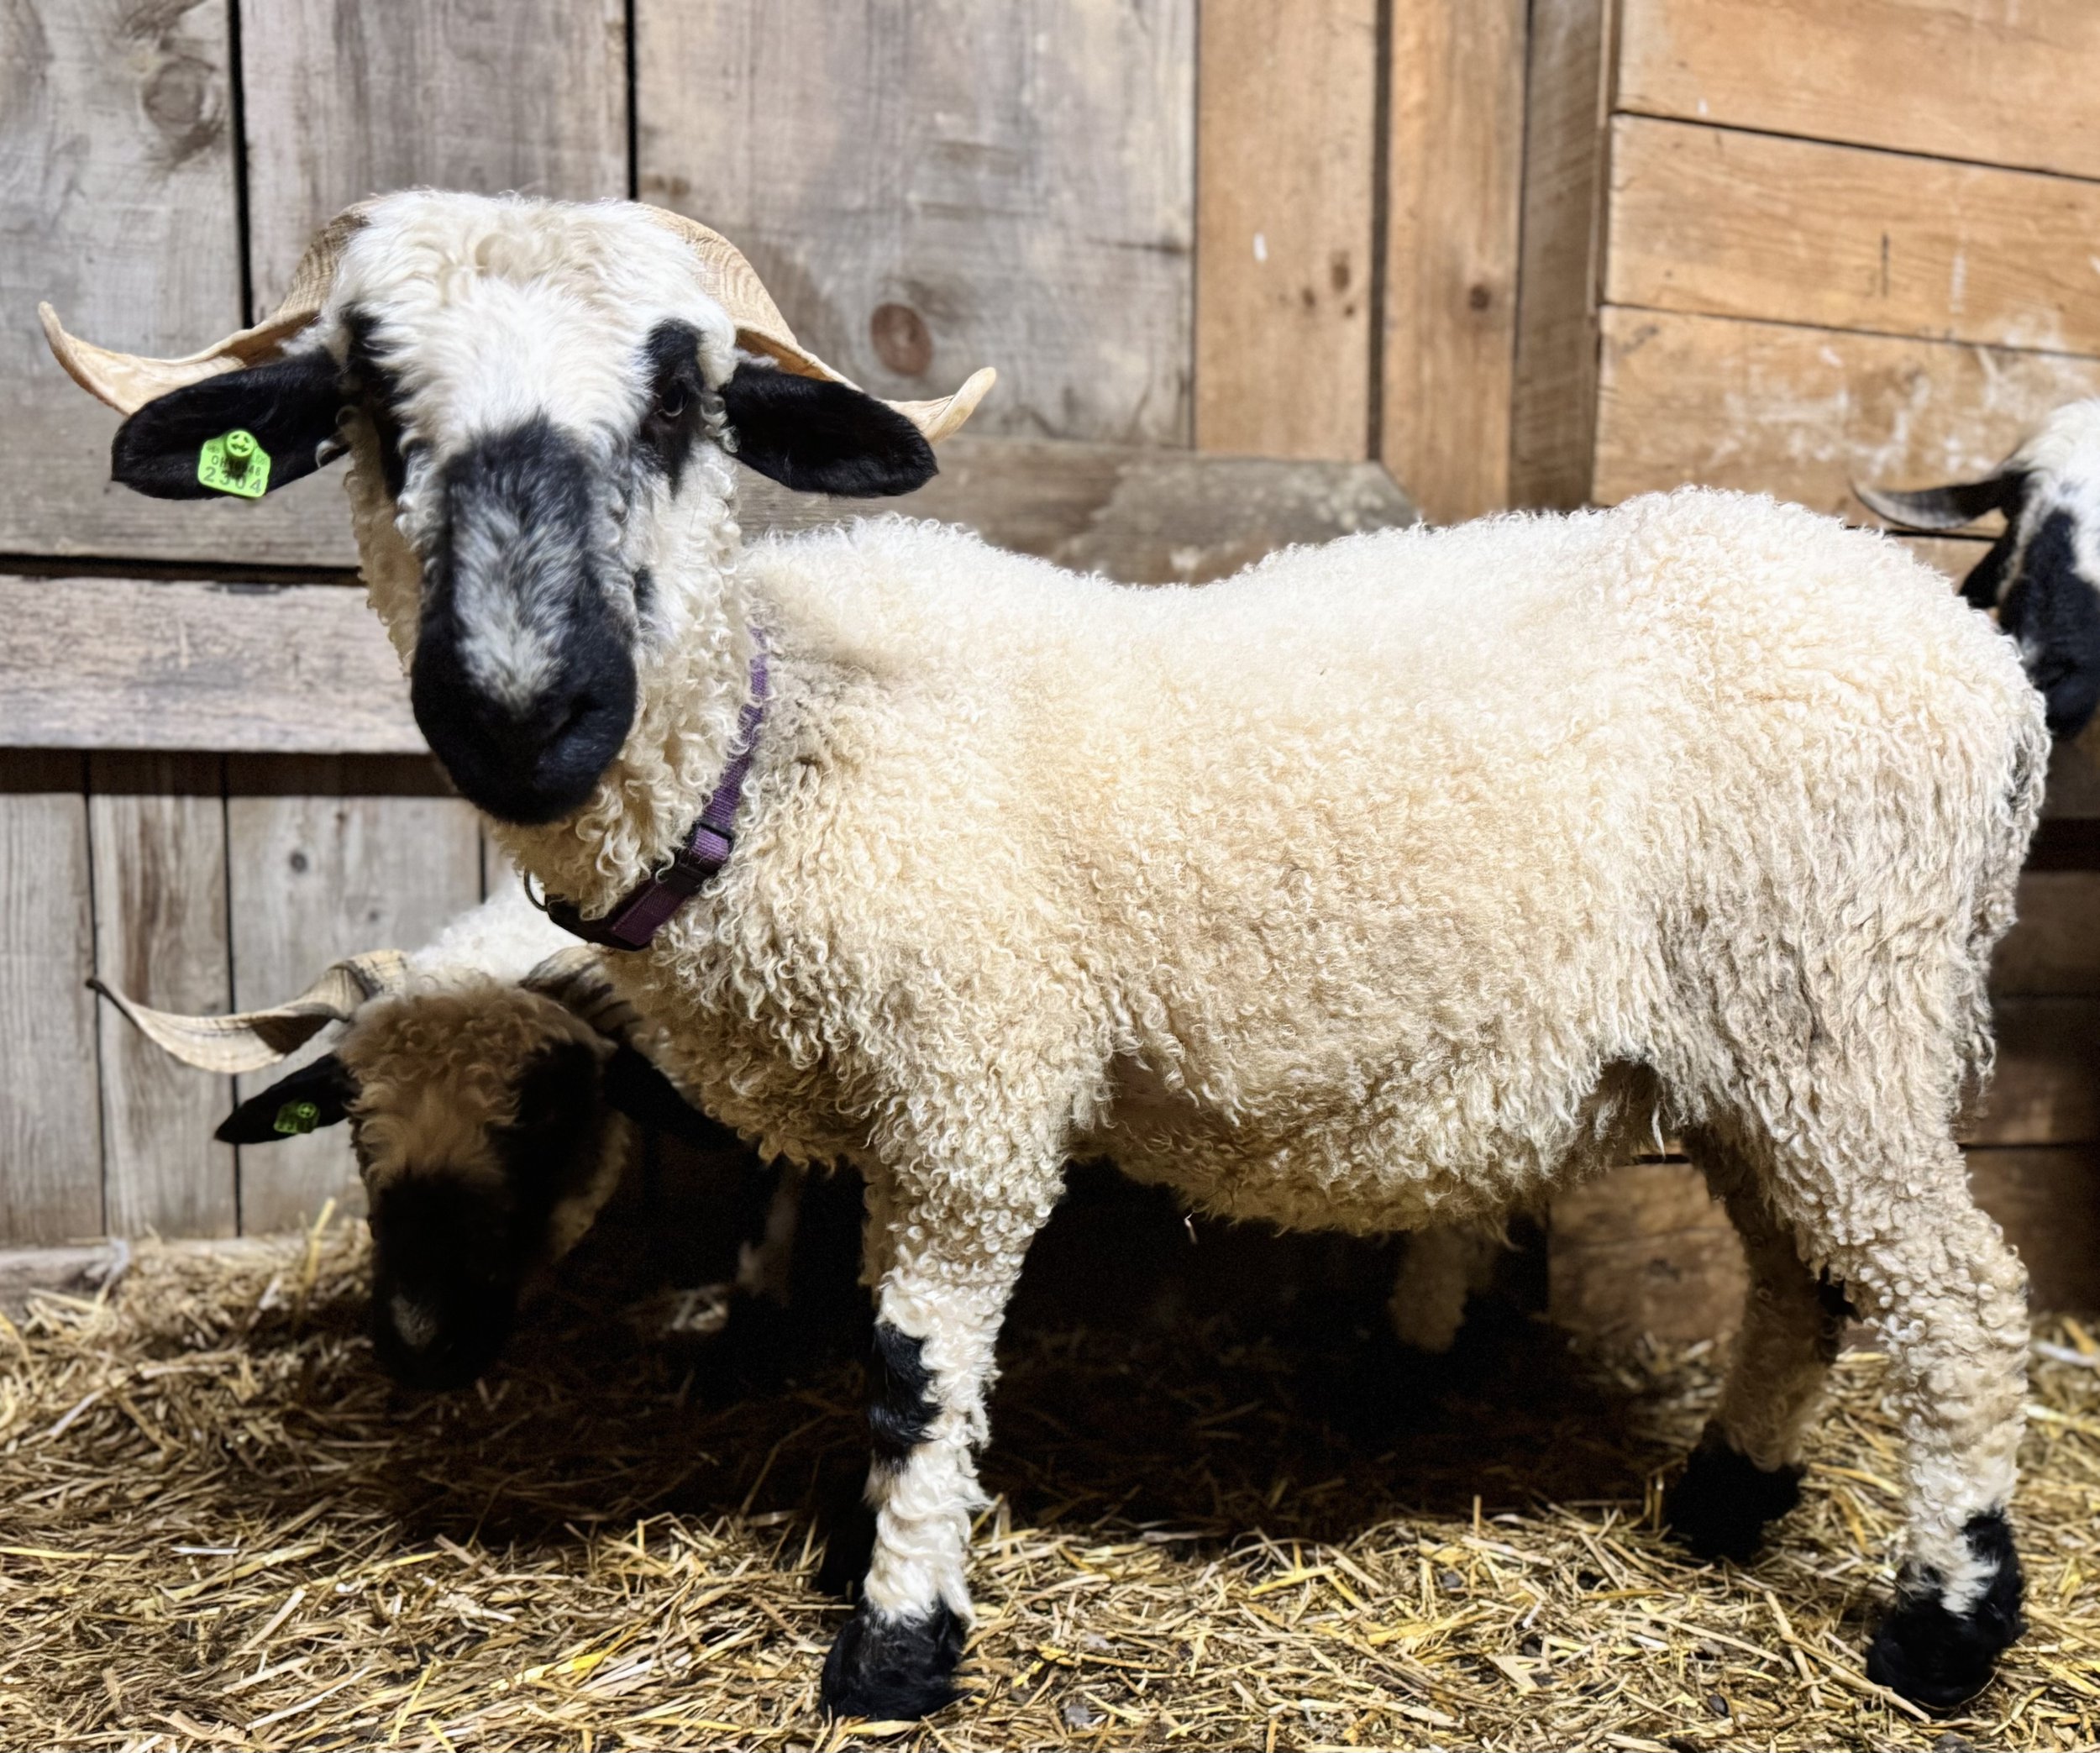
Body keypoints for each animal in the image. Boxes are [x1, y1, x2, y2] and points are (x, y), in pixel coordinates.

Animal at [48, 189, 2047, 1717]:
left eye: (685, 398)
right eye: (369, 395)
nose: (522, 715)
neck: (779, 750)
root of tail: (1984, 670)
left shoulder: (974, 1085)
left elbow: (911, 1366)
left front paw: (893, 1642)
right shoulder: (881, 1102)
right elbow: (853, 1317)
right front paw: (855, 1533)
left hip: (1840, 1004)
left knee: (1955, 1298)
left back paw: (1942, 1627)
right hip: (1778, 1037)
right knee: (1811, 1279)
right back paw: (1724, 1498)